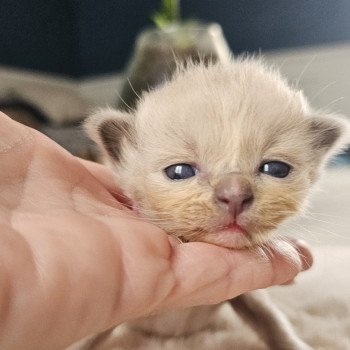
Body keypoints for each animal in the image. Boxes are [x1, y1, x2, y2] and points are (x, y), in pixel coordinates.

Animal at [82, 58, 350, 350]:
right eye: (179, 172)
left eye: (276, 169)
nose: (235, 195)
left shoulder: (246, 294)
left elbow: (270, 319)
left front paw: (296, 344)